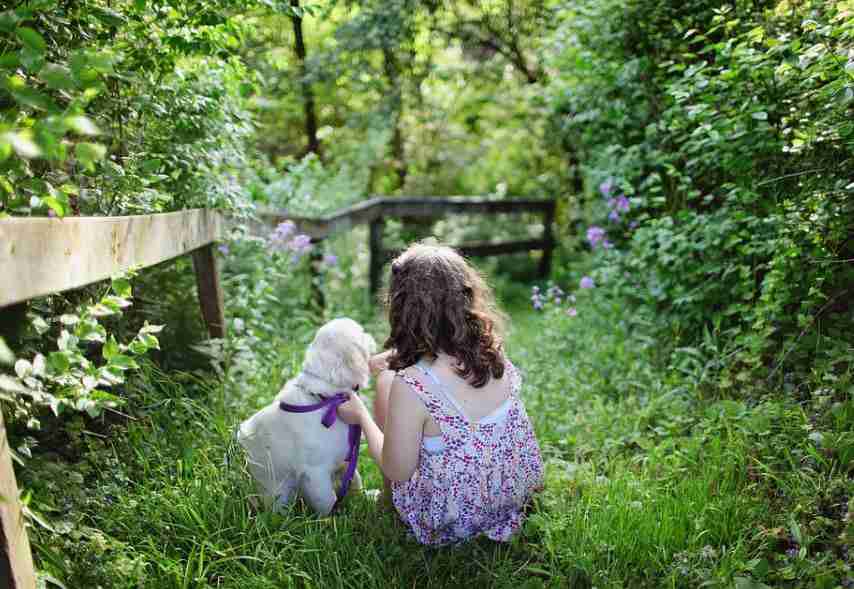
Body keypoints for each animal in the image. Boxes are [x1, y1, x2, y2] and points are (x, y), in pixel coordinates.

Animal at [239, 316, 376, 516]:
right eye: (361, 332)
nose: (371, 336)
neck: (327, 399)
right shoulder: (315, 472)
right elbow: (328, 500)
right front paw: (330, 519)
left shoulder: (345, 458)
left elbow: (355, 479)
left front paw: (366, 497)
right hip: (278, 491)